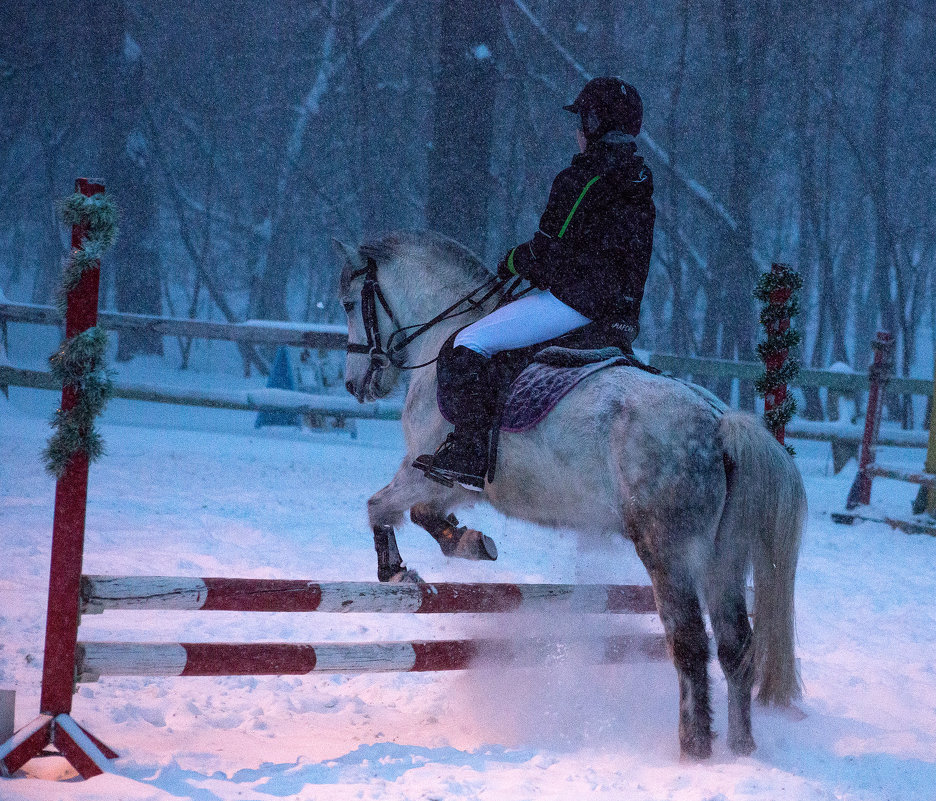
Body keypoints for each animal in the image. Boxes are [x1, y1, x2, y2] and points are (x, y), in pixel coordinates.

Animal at [336, 230, 804, 756]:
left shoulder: (428, 471)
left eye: (350, 303)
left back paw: (694, 748)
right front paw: (470, 542)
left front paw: (396, 572)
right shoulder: (458, 487)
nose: (356, 384)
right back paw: (740, 747)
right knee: (735, 646)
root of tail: (720, 423)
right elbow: (423, 515)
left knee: (689, 644)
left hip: (669, 552)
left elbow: (379, 507)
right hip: (724, 558)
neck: (445, 337)